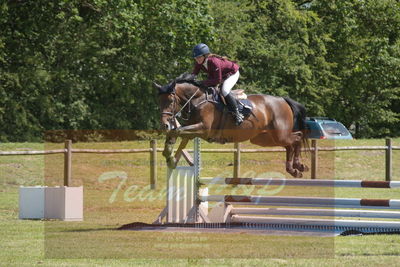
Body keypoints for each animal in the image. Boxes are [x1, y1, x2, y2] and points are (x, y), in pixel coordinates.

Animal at [154, 74, 310, 178]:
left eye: (170, 101)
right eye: (159, 101)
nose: (164, 124)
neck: (197, 100)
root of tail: (283, 100)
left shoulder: (203, 129)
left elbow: (178, 131)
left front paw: (169, 155)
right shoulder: (193, 129)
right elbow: (179, 135)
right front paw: (171, 158)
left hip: (279, 134)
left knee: (298, 137)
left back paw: (298, 165)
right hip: (264, 139)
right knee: (289, 145)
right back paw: (293, 169)